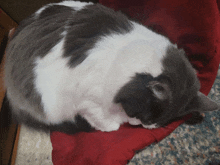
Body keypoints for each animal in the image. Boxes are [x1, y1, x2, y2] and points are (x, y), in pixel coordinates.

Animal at [3, 0, 220, 134]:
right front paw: (113, 125)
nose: (140, 124)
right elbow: (101, 118)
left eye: (151, 123)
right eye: (141, 115)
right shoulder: (87, 99)